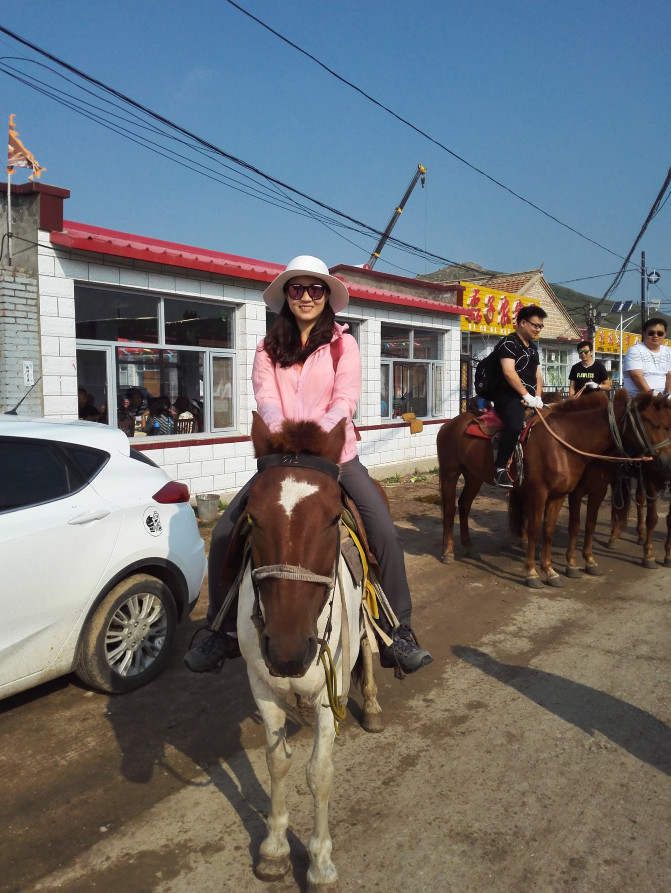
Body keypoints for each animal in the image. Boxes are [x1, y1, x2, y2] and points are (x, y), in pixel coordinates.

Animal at [510, 388, 671, 584]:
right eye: (655, 425)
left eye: (669, 425)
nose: (667, 463)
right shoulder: (565, 492)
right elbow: (572, 525)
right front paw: (567, 565)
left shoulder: (596, 490)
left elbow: (589, 524)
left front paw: (588, 561)